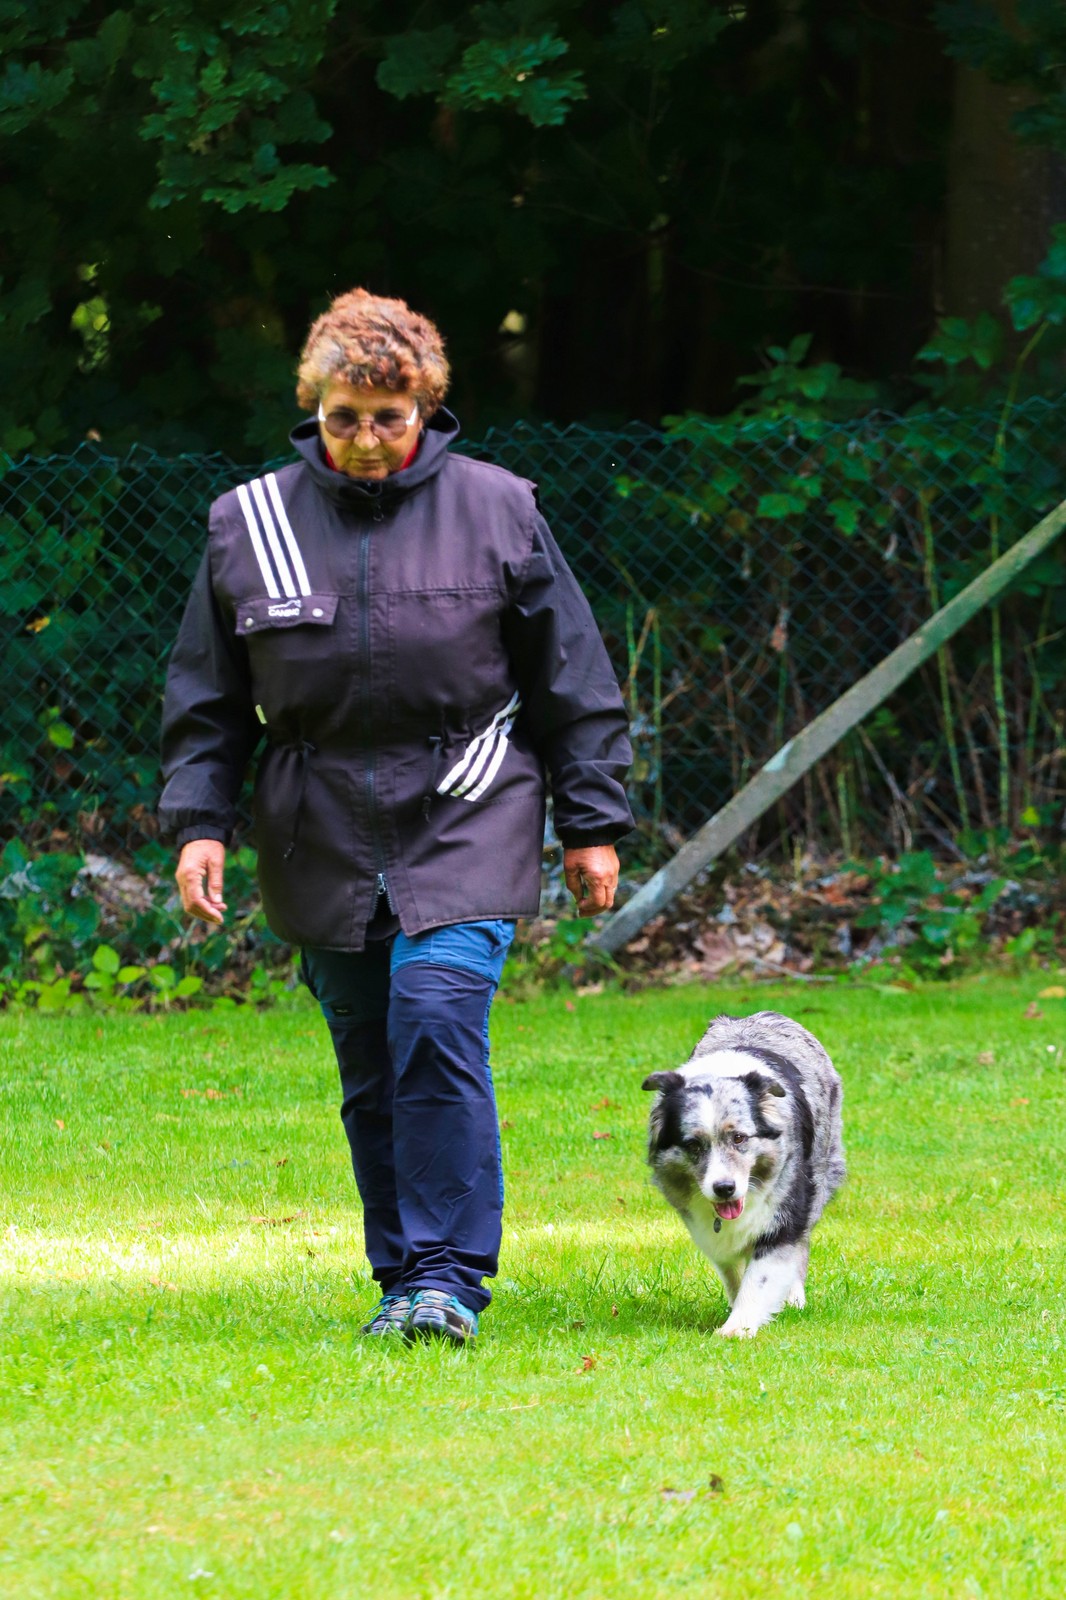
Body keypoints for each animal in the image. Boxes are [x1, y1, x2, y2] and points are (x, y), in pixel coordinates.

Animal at [642, 1011, 845, 1339]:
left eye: (739, 1138)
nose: (724, 1188)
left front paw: (738, 1327)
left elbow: (762, 1274)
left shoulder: (785, 1211)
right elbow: (733, 1269)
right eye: (693, 1145)